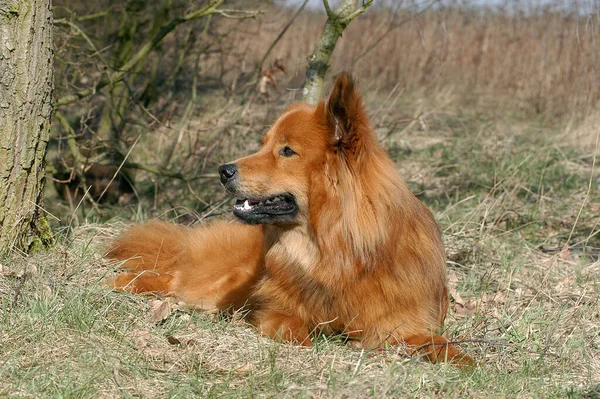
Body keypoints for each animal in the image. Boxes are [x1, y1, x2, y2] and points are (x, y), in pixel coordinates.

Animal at [108, 73, 474, 368]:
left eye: (286, 151)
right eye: (264, 144)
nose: (223, 170)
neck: (334, 250)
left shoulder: (401, 322)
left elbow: (437, 343)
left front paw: (462, 359)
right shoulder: (275, 307)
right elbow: (291, 324)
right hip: (214, 282)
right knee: (171, 278)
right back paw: (121, 283)